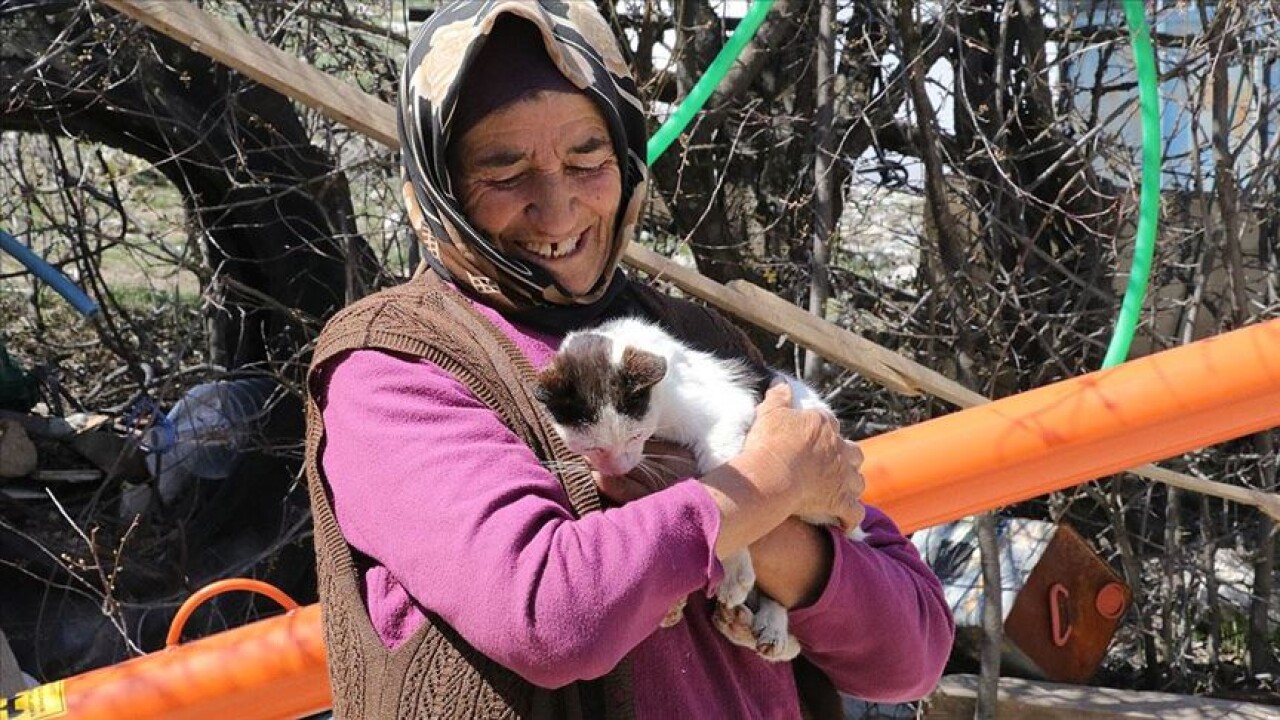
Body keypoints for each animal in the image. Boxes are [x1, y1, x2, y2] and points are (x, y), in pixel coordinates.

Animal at [535, 316, 865, 661]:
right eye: (593, 447)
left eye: (634, 436)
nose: (618, 466)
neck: (662, 406)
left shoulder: (727, 414)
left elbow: (731, 489)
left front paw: (733, 573)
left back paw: (769, 625)